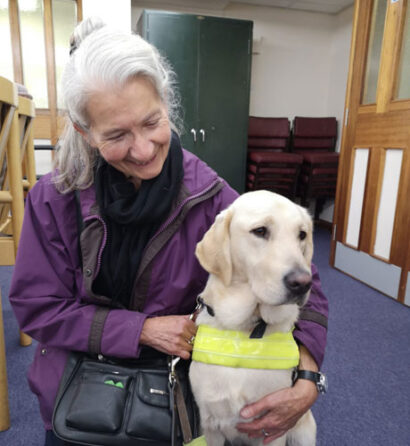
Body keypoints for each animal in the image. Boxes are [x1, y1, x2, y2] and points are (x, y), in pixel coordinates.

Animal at [190, 191, 318, 446]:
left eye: (302, 234)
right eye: (260, 231)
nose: (303, 283)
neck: (245, 330)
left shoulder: (274, 426)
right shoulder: (210, 426)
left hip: (305, 431)